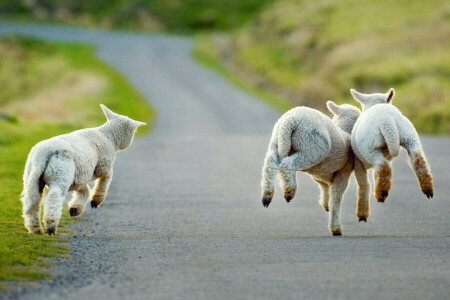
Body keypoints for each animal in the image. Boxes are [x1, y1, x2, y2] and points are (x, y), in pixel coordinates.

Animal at [21, 104, 146, 236]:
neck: (108, 137)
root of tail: (43, 153)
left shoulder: (80, 175)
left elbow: (84, 190)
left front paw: (75, 209)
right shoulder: (103, 166)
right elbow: (105, 181)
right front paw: (96, 200)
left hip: (32, 177)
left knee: (32, 202)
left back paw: (35, 229)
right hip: (60, 174)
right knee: (54, 198)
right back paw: (51, 226)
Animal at [260, 102, 370, 236]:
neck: (345, 131)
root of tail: (290, 121)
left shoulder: (320, 174)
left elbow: (325, 186)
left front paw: (326, 204)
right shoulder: (343, 171)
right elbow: (336, 197)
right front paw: (336, 228)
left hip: (277, 141)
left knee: (270, 164)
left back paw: (267, 195)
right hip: (310, 147)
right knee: (288, 164)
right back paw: (289, 191)